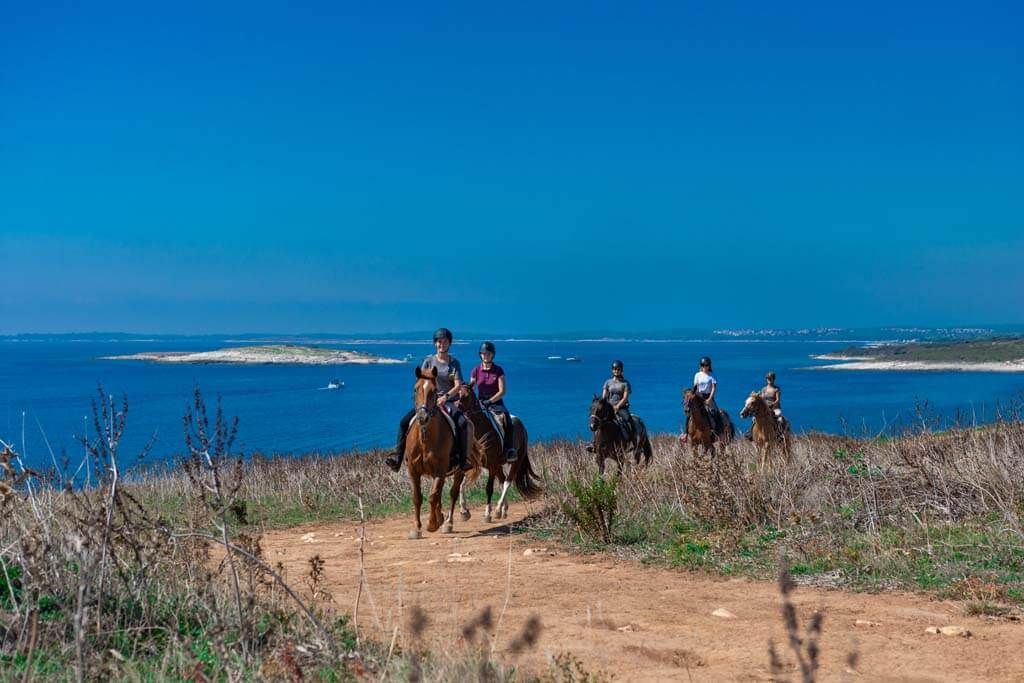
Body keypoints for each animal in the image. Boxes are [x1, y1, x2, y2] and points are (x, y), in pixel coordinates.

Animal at [403, 366, 481, 539]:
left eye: (434, 390)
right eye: (415, 389)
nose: (422, 417)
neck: (425, 437)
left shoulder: (440, 469)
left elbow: (433, 496)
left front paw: (432, 524)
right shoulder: (413, 470)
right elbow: (417, 497)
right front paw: (416, 529)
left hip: (458, 471)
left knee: (452, 493)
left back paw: (447, 523)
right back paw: (441, 517)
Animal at [456, 386, 542, 522]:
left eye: (465, 395)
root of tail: (521, 425)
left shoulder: (492, 465)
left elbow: (489, 488)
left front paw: (487, 514)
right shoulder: (474, 464)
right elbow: (461, 485)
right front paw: (464, 512)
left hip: (515, 461)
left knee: (507, 481)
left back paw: (498, 510)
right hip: (497, 465)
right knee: (502, 480)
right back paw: (503, 510)